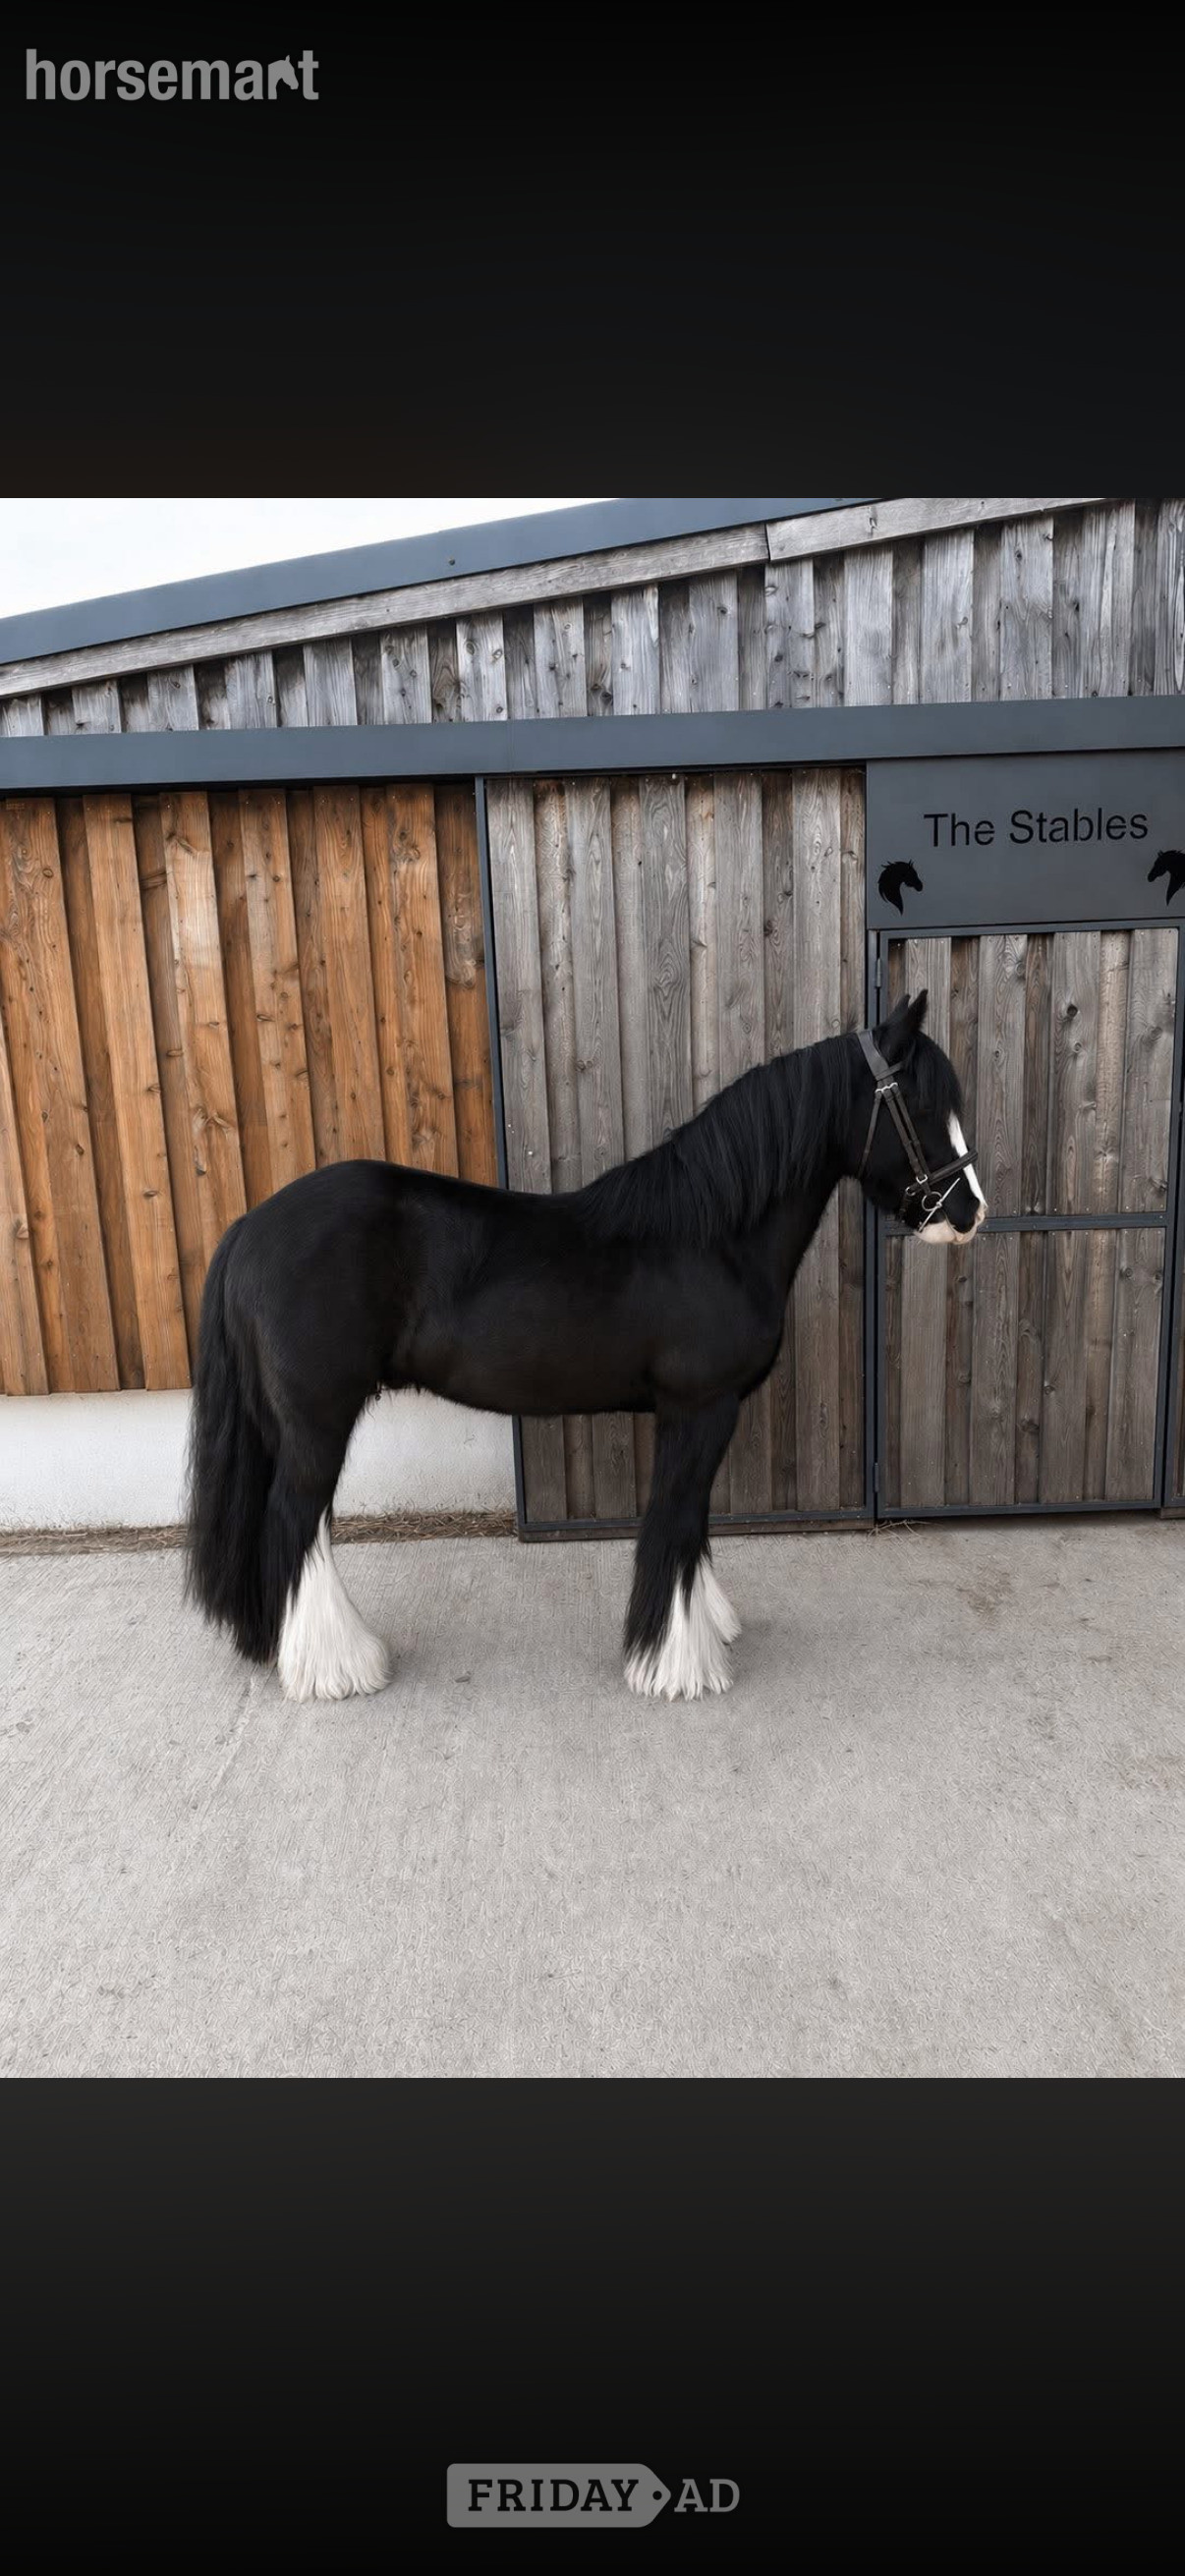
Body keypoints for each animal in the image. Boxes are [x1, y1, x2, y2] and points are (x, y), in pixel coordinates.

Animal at [185, 987, 986, 1705]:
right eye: (919, 1107)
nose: (970, 1213)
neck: (711, 1236)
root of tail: (249, 1225)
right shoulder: (700, 1408)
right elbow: (675, 1517)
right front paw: (675, 1665)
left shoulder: (702, 1414)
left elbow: (693, 1521)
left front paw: (704, 1629)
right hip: (319, 1418)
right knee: (297, 1521)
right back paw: (338, 1668)